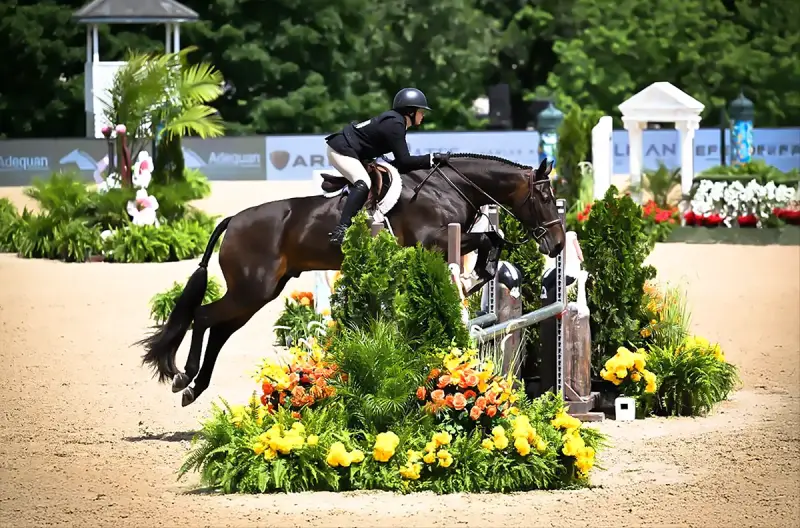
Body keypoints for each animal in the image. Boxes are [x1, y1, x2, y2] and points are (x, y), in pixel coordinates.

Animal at [137, 154, 566, 407]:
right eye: (545, 197)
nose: (559, 243)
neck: (448, 187)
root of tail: (233, 220)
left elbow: (495, 239)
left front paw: (482, 273)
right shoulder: (432, 241)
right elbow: (493, 237)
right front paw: (478, 273)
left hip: (261, 291)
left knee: (221, 329)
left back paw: (194, 387)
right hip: (250, 288)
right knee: (205, 317)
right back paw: (184, 377)